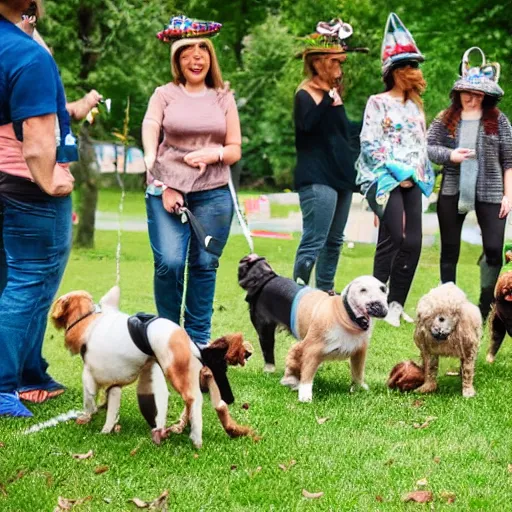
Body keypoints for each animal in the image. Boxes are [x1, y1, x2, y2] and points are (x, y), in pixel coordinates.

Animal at [51, 286, 252, 446]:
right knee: (206, 402)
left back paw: (195, 437)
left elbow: (89, 400)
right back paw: (184, 426)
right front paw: (106, 429)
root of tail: (188, 341)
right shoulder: (114, 385)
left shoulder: (89, 376)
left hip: (175, 372)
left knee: (194, 399)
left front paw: (86, 417)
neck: (88, 321)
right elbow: (111, 407)